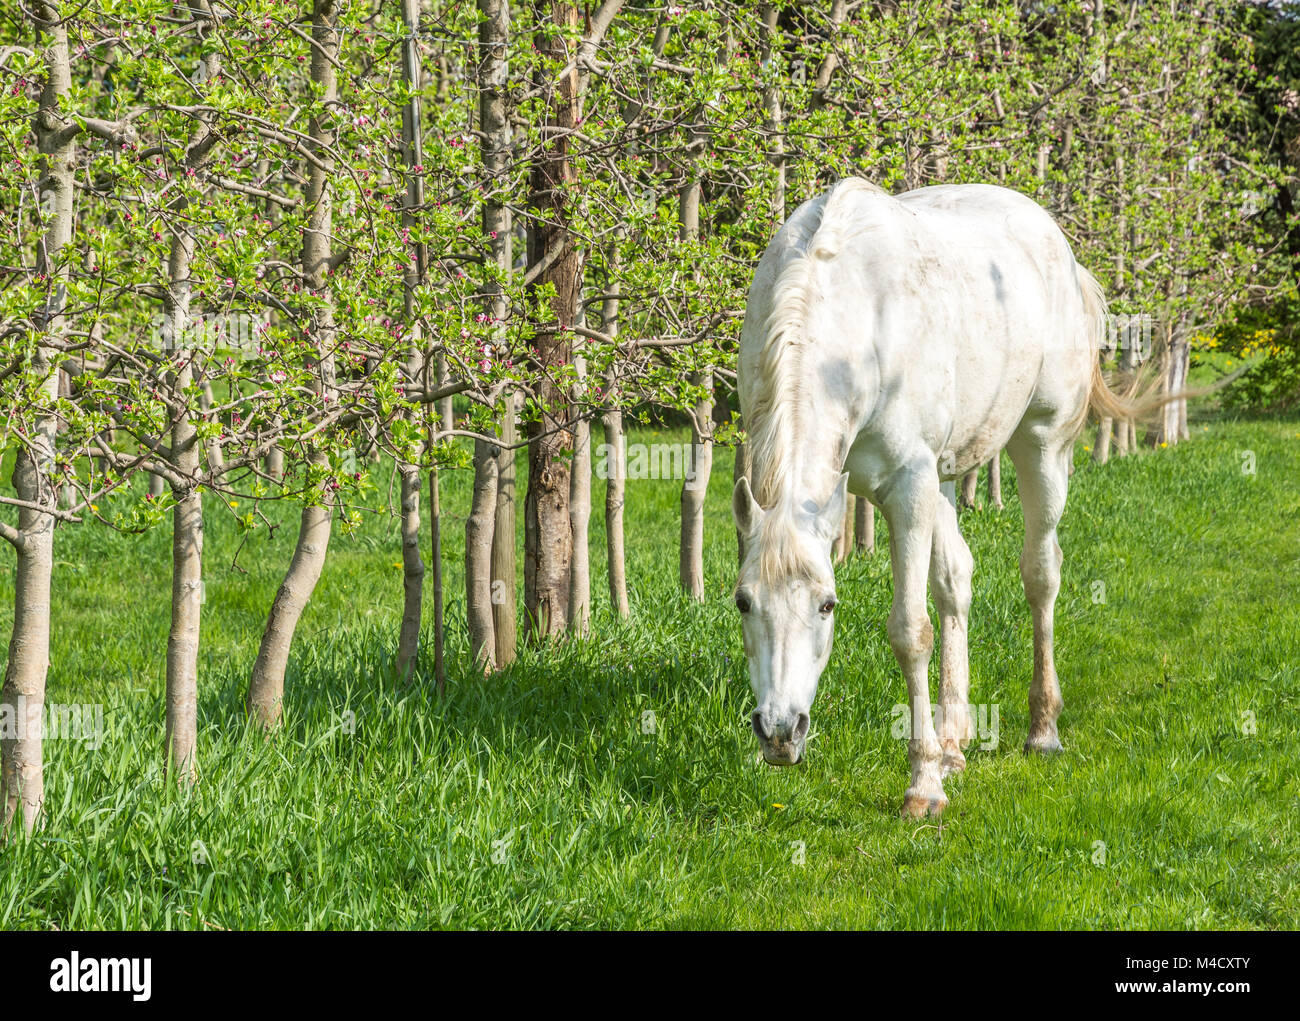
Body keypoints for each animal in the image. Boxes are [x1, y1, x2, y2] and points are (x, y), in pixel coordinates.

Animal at [733, 175, 1138, 811]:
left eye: (828, 605)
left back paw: (1041, 728)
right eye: (743, 602)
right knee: (956, 578)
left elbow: (909, 631)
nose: (779, 731)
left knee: (1041, 572)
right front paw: (938, 758)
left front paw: (922, 785)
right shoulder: (914, 485)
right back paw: (954, 740)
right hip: (944, 477)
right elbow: (943, 595)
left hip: (1040, 445)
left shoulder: (908, 488)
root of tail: (1059, 246)